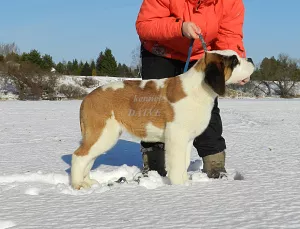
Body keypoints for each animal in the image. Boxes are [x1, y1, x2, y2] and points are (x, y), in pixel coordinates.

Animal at [71, 49, 255, 189]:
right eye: (234, 61)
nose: (251, 59)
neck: (200, 88)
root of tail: (87, 97)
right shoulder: (176, 137)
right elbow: (177, 163)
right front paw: (179, 186)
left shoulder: (187, 140)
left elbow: (184, 162)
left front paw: (185, 182)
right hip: (103, 133)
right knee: (79, 156)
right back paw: (78, 185)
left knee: (88, 157)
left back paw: (88, 182)